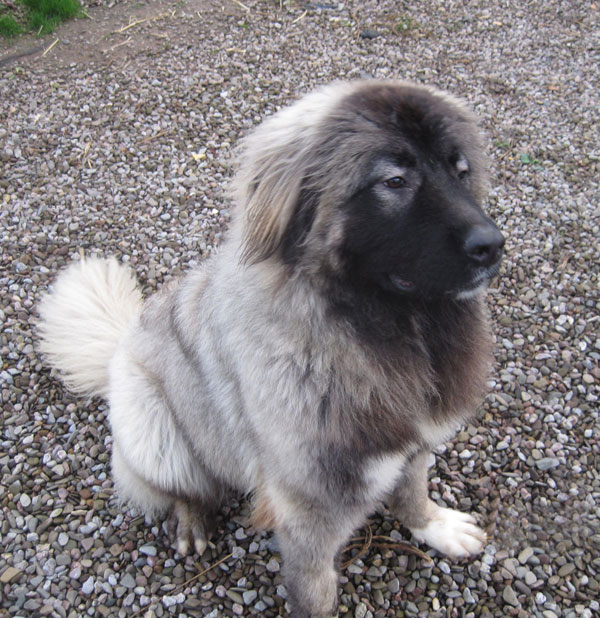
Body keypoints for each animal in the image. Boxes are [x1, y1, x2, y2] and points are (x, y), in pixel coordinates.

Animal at [39, 80, 504, 616]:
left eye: (460, 171)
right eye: (394, 181)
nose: (492, 245)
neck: (387, 329)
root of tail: (119, 345)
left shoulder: (414, 443)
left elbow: (413, 491)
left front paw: (435, 526)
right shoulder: (309, 506)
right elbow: (315, 589)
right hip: (152, 429)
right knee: (179, 485)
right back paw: (192, 520)